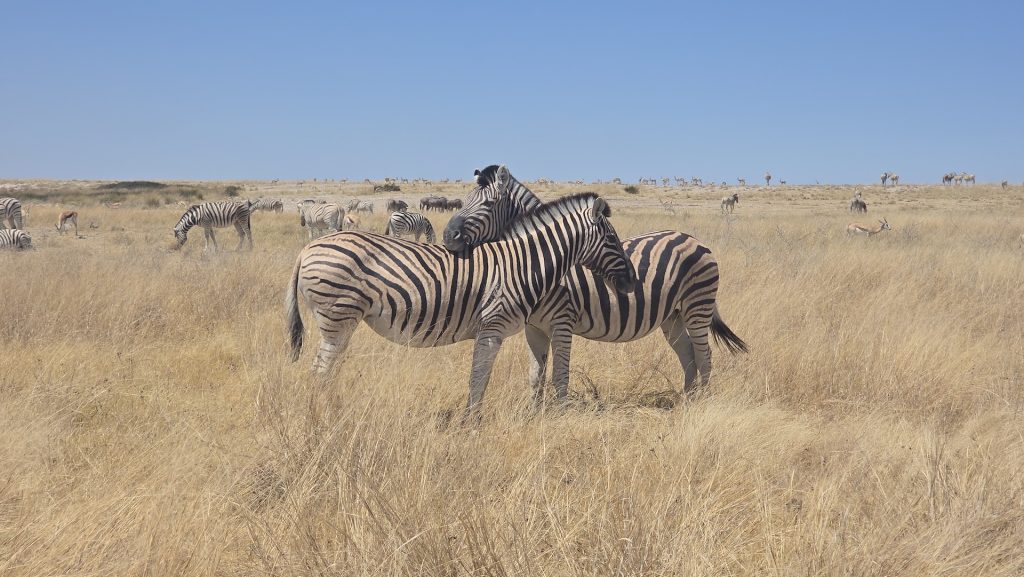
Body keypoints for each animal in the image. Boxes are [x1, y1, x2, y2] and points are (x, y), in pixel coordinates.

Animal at [286, 192, 637, 420]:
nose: (632, 283)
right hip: (338, 316)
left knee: (325, 370)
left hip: (341, 322)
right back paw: (325, 415)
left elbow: (482, 376)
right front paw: (472, 421)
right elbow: (479, 378)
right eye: (611, 239)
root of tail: (306, 249)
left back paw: (334, 411)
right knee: (319, 371)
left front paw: (472, 419)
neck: (523, 264)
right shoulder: (492, 327)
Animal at [443, 165, 747, 401]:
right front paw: (533, 416)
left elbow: (559, 377)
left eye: (488, 204)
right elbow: (535, 376)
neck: (537, 260)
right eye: (464, 200)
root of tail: (694, 239)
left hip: (697, 307)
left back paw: (700, 404)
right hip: (673, 317)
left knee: (704, 357)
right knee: (688, 356)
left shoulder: (562, 321)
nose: (447, 237)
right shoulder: (534, 327)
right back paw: (687, 400)